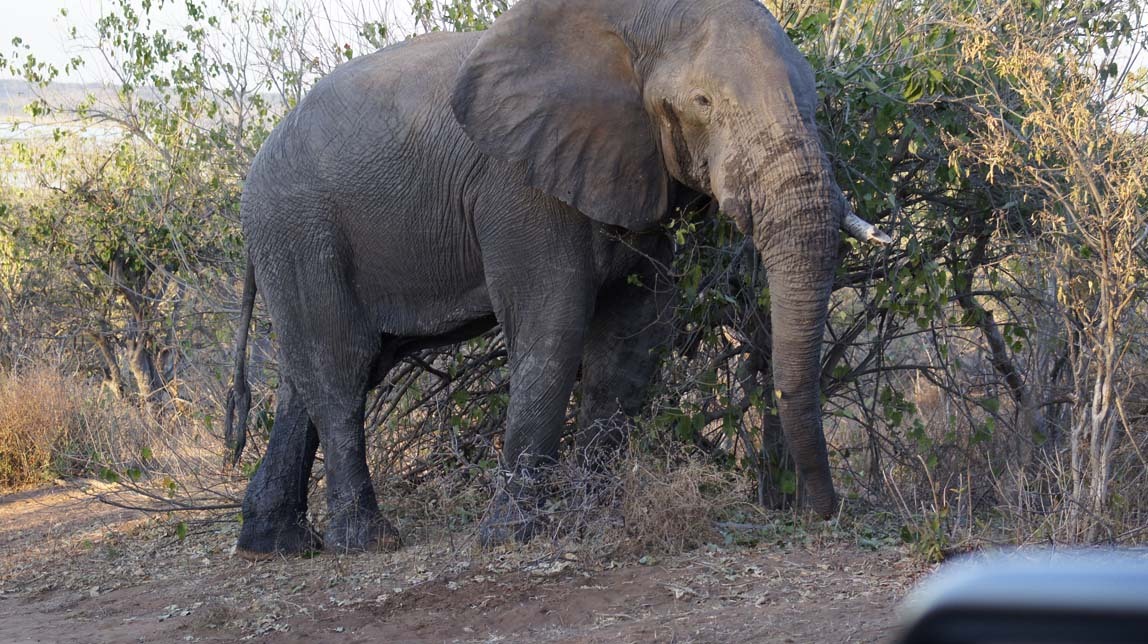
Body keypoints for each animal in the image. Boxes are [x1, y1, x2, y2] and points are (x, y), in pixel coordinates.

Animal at [223, 0, 886, 557]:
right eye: (703, 103)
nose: (817, 513)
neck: (636, 22)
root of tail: (251, 174)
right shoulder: (520, 187)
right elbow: (552, 325)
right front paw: (511, 537)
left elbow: (633, 335)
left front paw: (596, 521)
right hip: (301, 228)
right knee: (341, 365)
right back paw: (367, 542)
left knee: (319, 375)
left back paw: (275, 545)